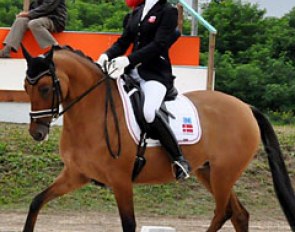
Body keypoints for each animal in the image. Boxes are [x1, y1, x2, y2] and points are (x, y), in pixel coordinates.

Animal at [20, 45, 295, 232]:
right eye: (25, 88)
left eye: (45, 88)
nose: (37, 133)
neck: (93, 113)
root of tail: (245, 107)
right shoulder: (76, 174)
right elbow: (36, 202)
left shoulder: (121, 181)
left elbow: (129, 224)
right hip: (209, 172)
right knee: (237, 214)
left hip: (223, 174)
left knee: (223, 211)